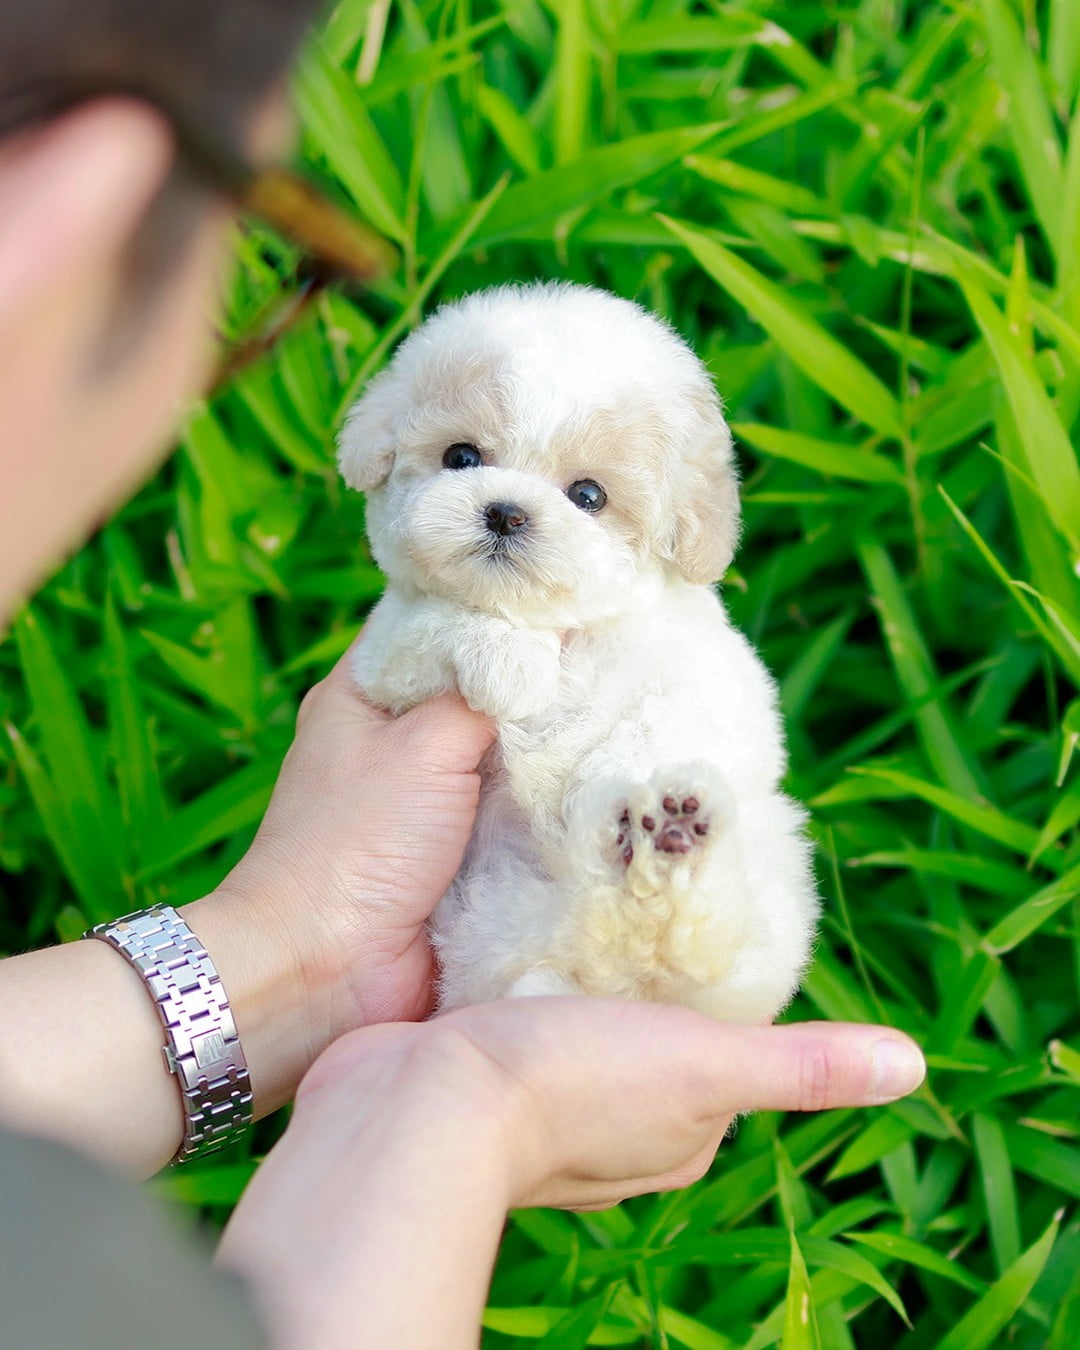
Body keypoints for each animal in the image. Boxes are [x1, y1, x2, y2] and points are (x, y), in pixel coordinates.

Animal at [337, 284, 820, 1020]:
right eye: (461, 457)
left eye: (588, 496)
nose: (505, 512)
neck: (564, 627)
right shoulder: (387, 655)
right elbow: (441, 622)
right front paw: (509, 661)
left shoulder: (704, 673)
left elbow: (667, 723)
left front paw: (613, 778)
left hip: (772, 879)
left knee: (705, 954)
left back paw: (668, 844)